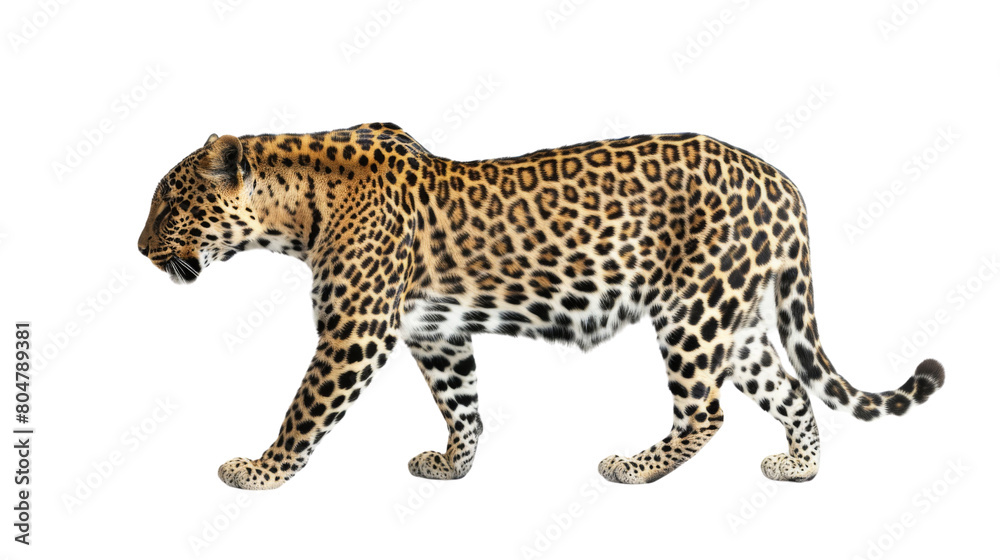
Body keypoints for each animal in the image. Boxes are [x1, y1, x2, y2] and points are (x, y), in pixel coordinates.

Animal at [137, 122, 945, 489]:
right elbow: (463, 403)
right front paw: (453, 465)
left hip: (693, 312)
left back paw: (635, 467)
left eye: (171, 205)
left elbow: (304, 410)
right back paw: (798, 467)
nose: (140, 249)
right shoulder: (435, 332)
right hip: (734, 318)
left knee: (705, 413)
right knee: (790, 391)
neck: (295, 210)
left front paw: (260, 471)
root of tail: (783, 182)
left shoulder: (353, 333)